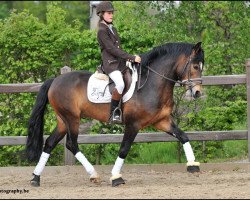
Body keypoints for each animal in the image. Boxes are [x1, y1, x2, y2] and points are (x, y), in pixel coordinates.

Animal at [26, 41, 204, 187]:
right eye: (195, 67)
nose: (197, 93)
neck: (151, 84)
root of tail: (55, 80)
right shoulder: (133, 124)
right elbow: (124, 149)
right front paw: (116, 177)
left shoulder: (162, 121)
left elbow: (183, 136)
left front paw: (193, 165)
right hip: (72, 118)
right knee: (71, 144)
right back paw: (94, 175)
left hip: (63, 120)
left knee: (50, 143)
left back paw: (35, 178)